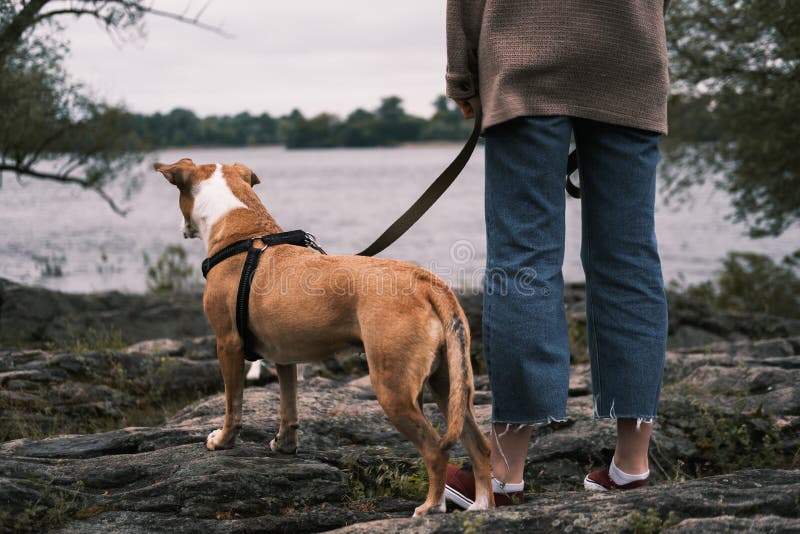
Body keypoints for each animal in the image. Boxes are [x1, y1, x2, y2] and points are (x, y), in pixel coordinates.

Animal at [155, 160, 494, 520]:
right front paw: (285, 445)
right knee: (478, 444)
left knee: (435, 449)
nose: (181, 228)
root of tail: (426, 281)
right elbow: (288, 407)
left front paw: (222, 441)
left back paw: (431, 507)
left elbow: (233, 404)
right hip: (448, 384)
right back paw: (481, 507)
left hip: (394, 388)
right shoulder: (284, 356)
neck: (243, 231)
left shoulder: (228, 344)